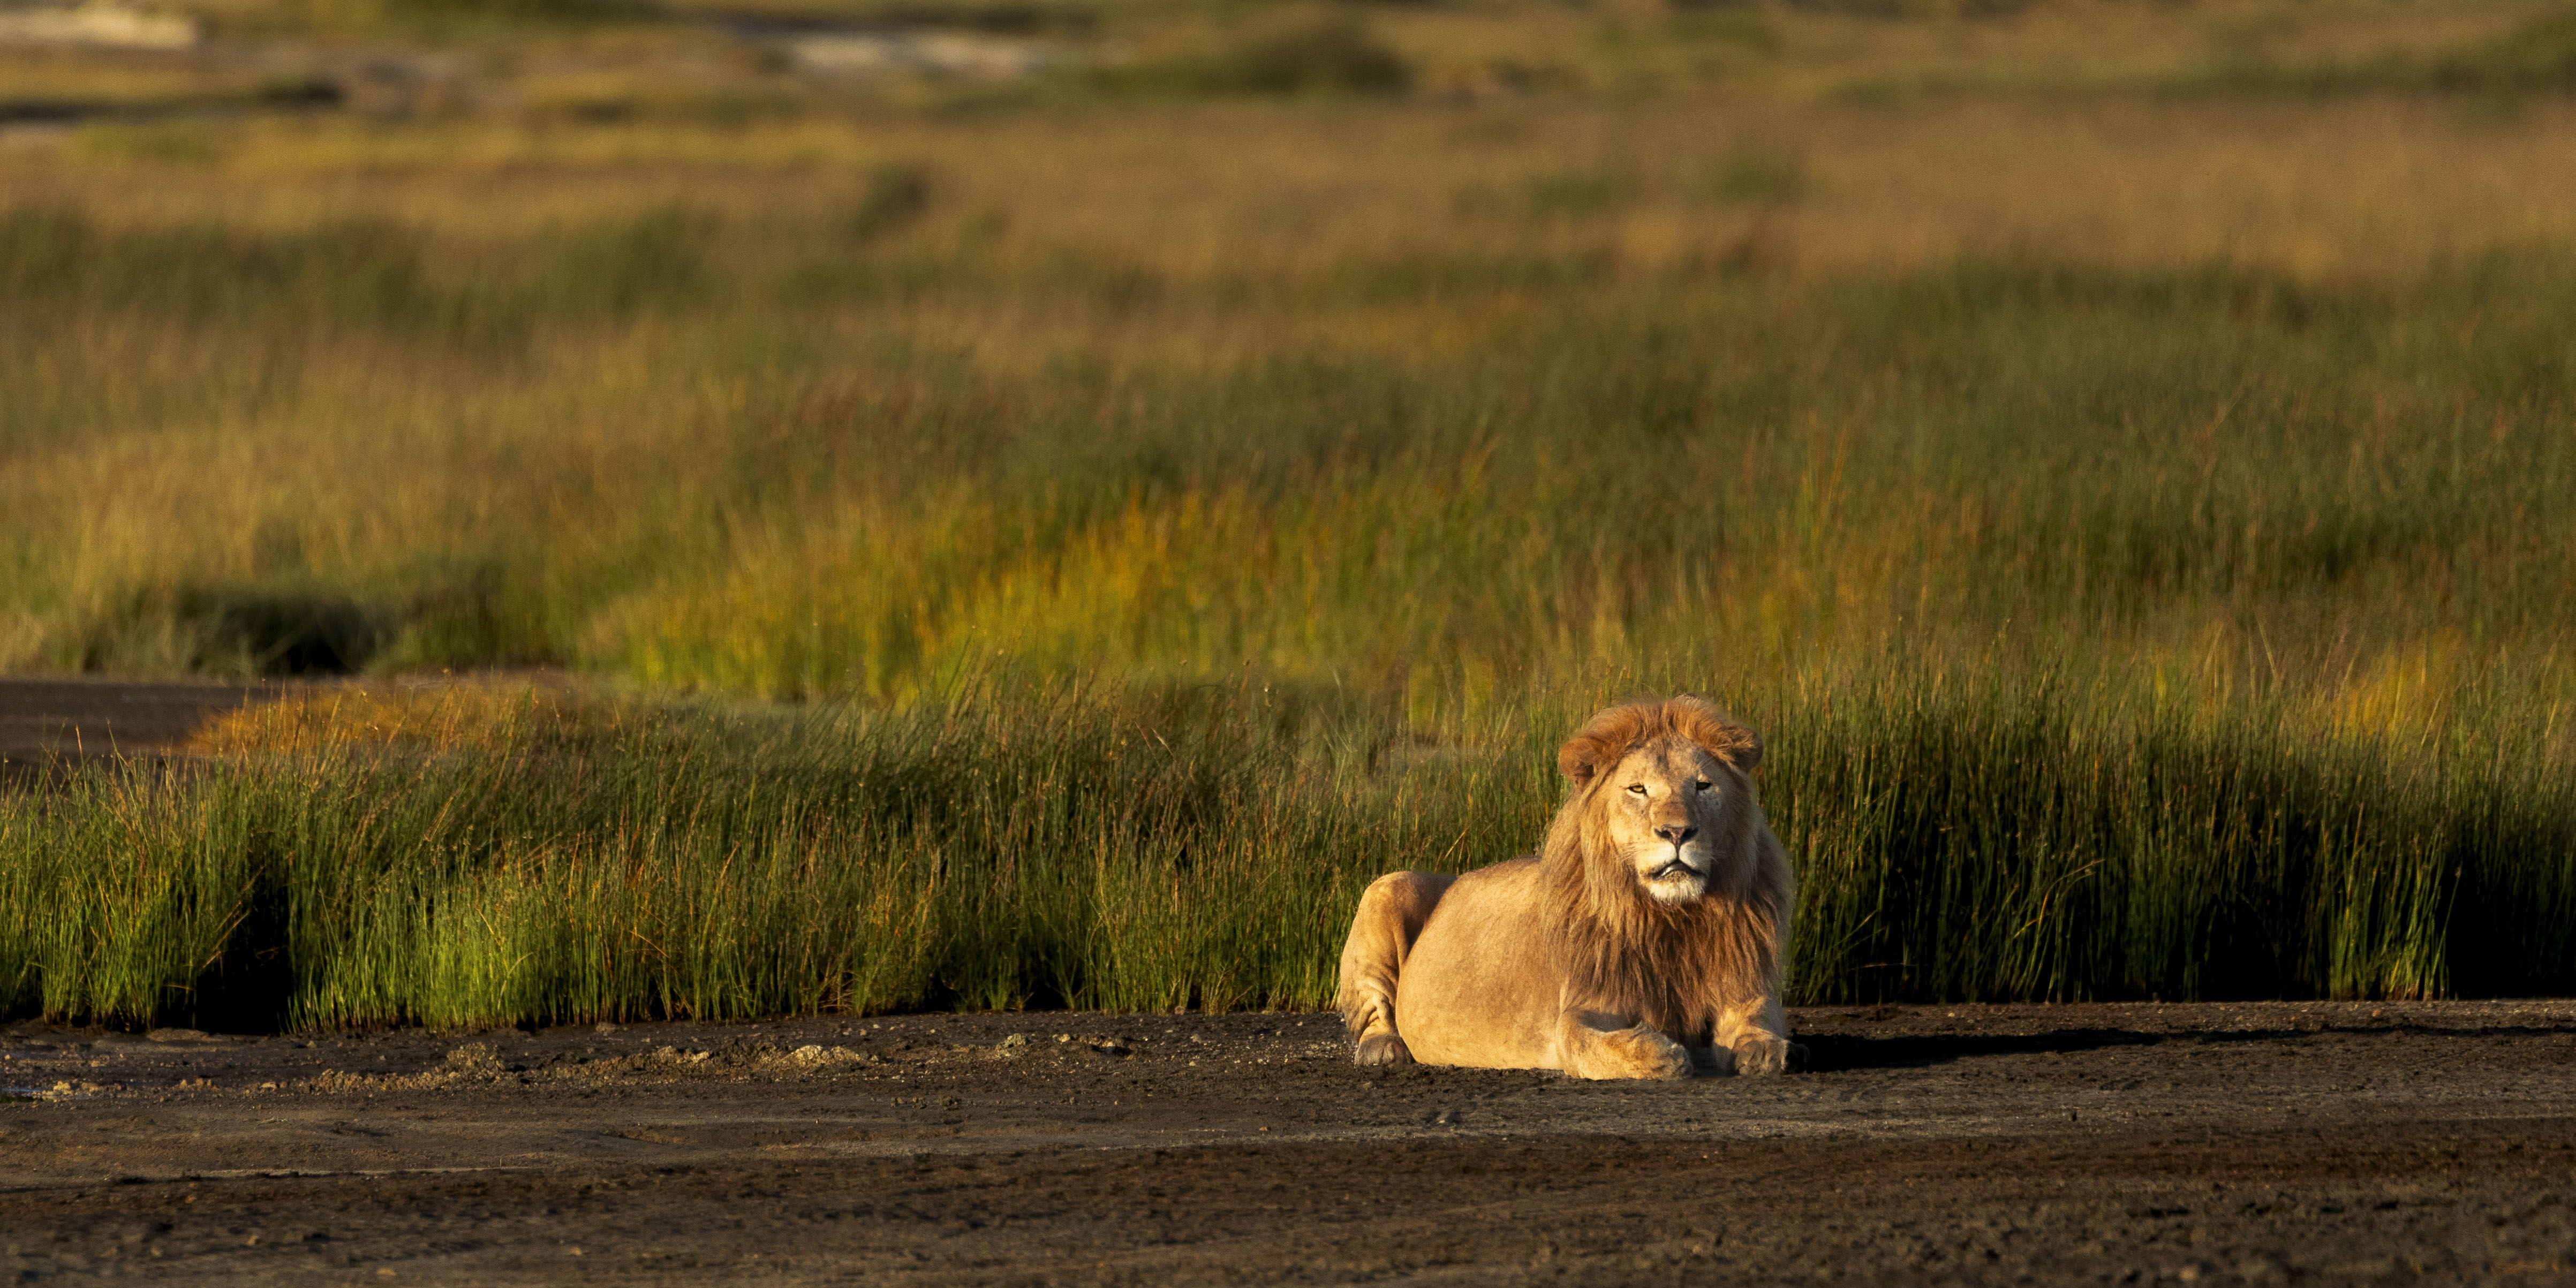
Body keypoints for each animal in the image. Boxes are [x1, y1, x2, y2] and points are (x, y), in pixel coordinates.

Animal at [1334, 696, 1797, 1079]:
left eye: (1702, 786)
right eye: (1638, 789)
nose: (1677, 832)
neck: (1669, 918)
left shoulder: (1739, 981)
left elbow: (1759, 1015)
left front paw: (1765, 1050)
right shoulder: (1583, 1004)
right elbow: (1586, 1043)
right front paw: (1657, 1054)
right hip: (1388, 886)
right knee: (1374, 1011)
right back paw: (1384, 1050)